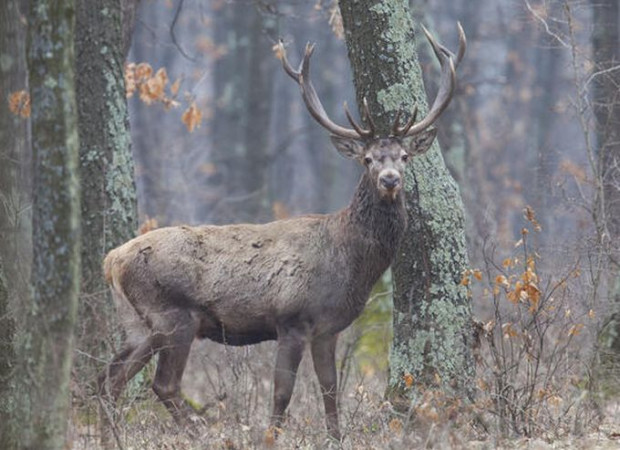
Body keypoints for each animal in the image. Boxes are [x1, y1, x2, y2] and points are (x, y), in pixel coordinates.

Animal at [98, 22, 464, 442]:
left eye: (404, 157)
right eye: (368, 159)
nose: (390, 179)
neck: (349, 261)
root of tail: (112, 260)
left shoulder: (327, 329)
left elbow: (330, 389)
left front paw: (336, 438)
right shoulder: (291, 319)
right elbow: (283, 392)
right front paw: (271, 436)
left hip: (136, 323)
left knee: (109, 378)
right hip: (173, 315)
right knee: (163, 384)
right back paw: (200, 433)